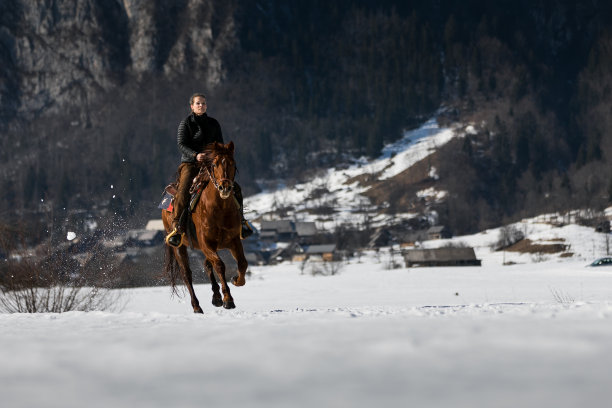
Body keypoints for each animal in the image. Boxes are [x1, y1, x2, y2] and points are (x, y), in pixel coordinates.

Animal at [163, 140, 251, 312]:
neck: (219, 208)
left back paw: (216, 297)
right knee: (187, 274)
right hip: (179, 247)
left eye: (233, 163)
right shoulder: (206, 244)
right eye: (215, 164)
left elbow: (243, 263)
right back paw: (197, 306)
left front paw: (236, 280)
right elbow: (220, 265)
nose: (225, 187)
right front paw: (228, 299)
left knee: (207, 264)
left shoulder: (233, 241)